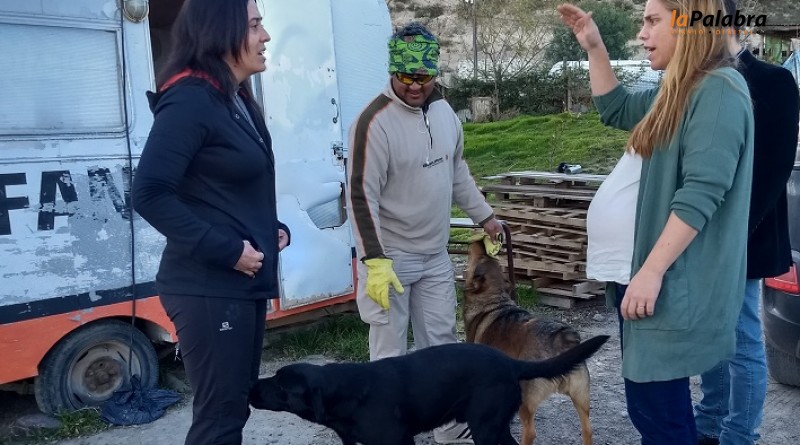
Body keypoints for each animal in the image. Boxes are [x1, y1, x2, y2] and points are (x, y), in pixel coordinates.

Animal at [249, 336, 608, 445]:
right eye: (276, 377)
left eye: (281, 385)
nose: (250, 387)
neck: (349, 393)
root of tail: (510, 362)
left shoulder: (397, 441)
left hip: (485, 426)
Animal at [463, 238, 599, 445]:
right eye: (489, 258)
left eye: (480, 257)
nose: (480, 240)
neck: (493, 299)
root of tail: (560, 339)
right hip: (581, 397)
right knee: (588, 430)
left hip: (527, 397)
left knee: (530, 432)